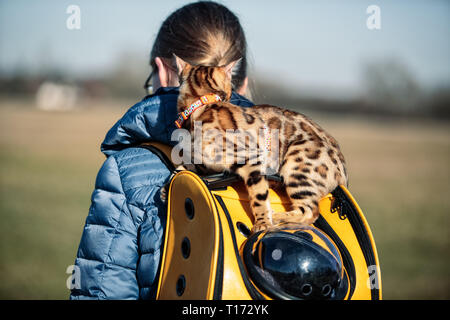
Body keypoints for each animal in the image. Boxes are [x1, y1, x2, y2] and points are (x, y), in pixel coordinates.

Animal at [165, 56, 348, 232]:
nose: (230, 96)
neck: (201, 105)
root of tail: (343, 168)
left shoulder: (251, 158)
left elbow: (258, 196)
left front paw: (263, 223)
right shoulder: (203, 163)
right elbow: (181, 168)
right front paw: (166, 187)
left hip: (298, 166)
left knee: (310, 212)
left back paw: (276, 215)